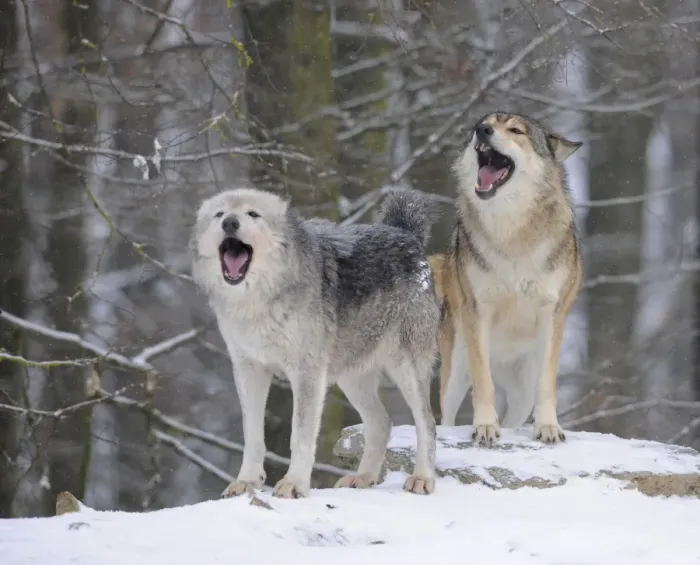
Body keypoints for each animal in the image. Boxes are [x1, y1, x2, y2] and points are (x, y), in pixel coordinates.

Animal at [191, 187, 439, 499]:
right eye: (220, 214)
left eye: (252, 214)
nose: (230, 223)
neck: (258, 303)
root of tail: (403, 231)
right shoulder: (249, 370)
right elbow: (252, 434)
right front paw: (246, 482)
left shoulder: (306, 372)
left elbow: (300, 434)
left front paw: (294, 484)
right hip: (351, 378)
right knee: (382, 423)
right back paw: (362, 478)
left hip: (404, 368)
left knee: (427, 423)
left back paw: (422, 478)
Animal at [432, 111, 583, 445]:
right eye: (484, 123)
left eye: (516, 130)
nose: (482, 130)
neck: (512, 232)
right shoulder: (479, 312)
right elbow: (483, 384)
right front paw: (485, 427)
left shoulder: (552, 314)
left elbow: (547, 386)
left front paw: (549, 428)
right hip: (455, 368)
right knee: (445, 417)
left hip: (523, 388)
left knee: (517, 413)